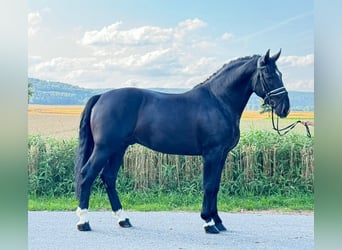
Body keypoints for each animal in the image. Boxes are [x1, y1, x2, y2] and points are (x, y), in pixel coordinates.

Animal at [74, 49, 288, 233]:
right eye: (269, 75)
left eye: (281, 74)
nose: (284, 108)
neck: (218, 101)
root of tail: (101, 96)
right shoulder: (212, 153)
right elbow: (208, 185)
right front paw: (208, 223)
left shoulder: (222, 154)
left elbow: (215, 186)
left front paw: (218, 222)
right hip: (104, 148)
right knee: (87, 175)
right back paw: (84, 222)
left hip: (118, 148)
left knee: (109, 177)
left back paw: (123, 219)